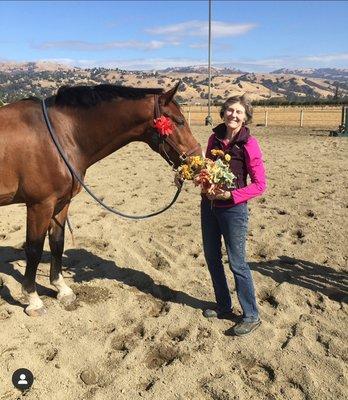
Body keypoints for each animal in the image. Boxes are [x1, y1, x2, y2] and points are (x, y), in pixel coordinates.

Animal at [0, 82, 201, 316]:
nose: (198, 161)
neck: (59, 134)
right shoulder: (40, 205)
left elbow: (57, 242)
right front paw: (33, 300)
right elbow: (34, 249)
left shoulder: (61, 203)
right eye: (179, 121)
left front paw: (62, 290)